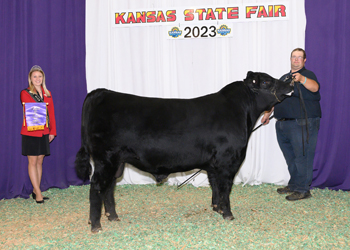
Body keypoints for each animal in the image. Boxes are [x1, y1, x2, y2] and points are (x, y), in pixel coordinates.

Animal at [75, 71, 294, 232]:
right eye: (266, 81)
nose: (291, 81)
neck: (241, 113)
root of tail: (102, 92)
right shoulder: (228, 161)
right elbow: (225, 188)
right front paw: (228, 214)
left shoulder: (214, 164)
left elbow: (215, 186)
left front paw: (216, 209)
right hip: (105, 159)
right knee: (97, 187)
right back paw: (96, 225)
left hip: (117, 161)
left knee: (109, 187)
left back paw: (113, 217)